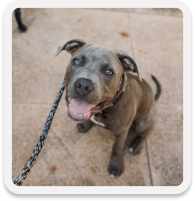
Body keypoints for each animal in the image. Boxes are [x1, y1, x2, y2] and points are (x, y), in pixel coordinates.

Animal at [55, 38, 161, 176]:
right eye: (77, 61)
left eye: (109, 72)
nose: (83, 85)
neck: (103, 111)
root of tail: (153, 97)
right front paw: (85, 124)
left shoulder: (122, 132)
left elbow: (117, 148)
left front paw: (116, 165)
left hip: (143, 123)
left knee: (145, 133)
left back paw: (136, 145)